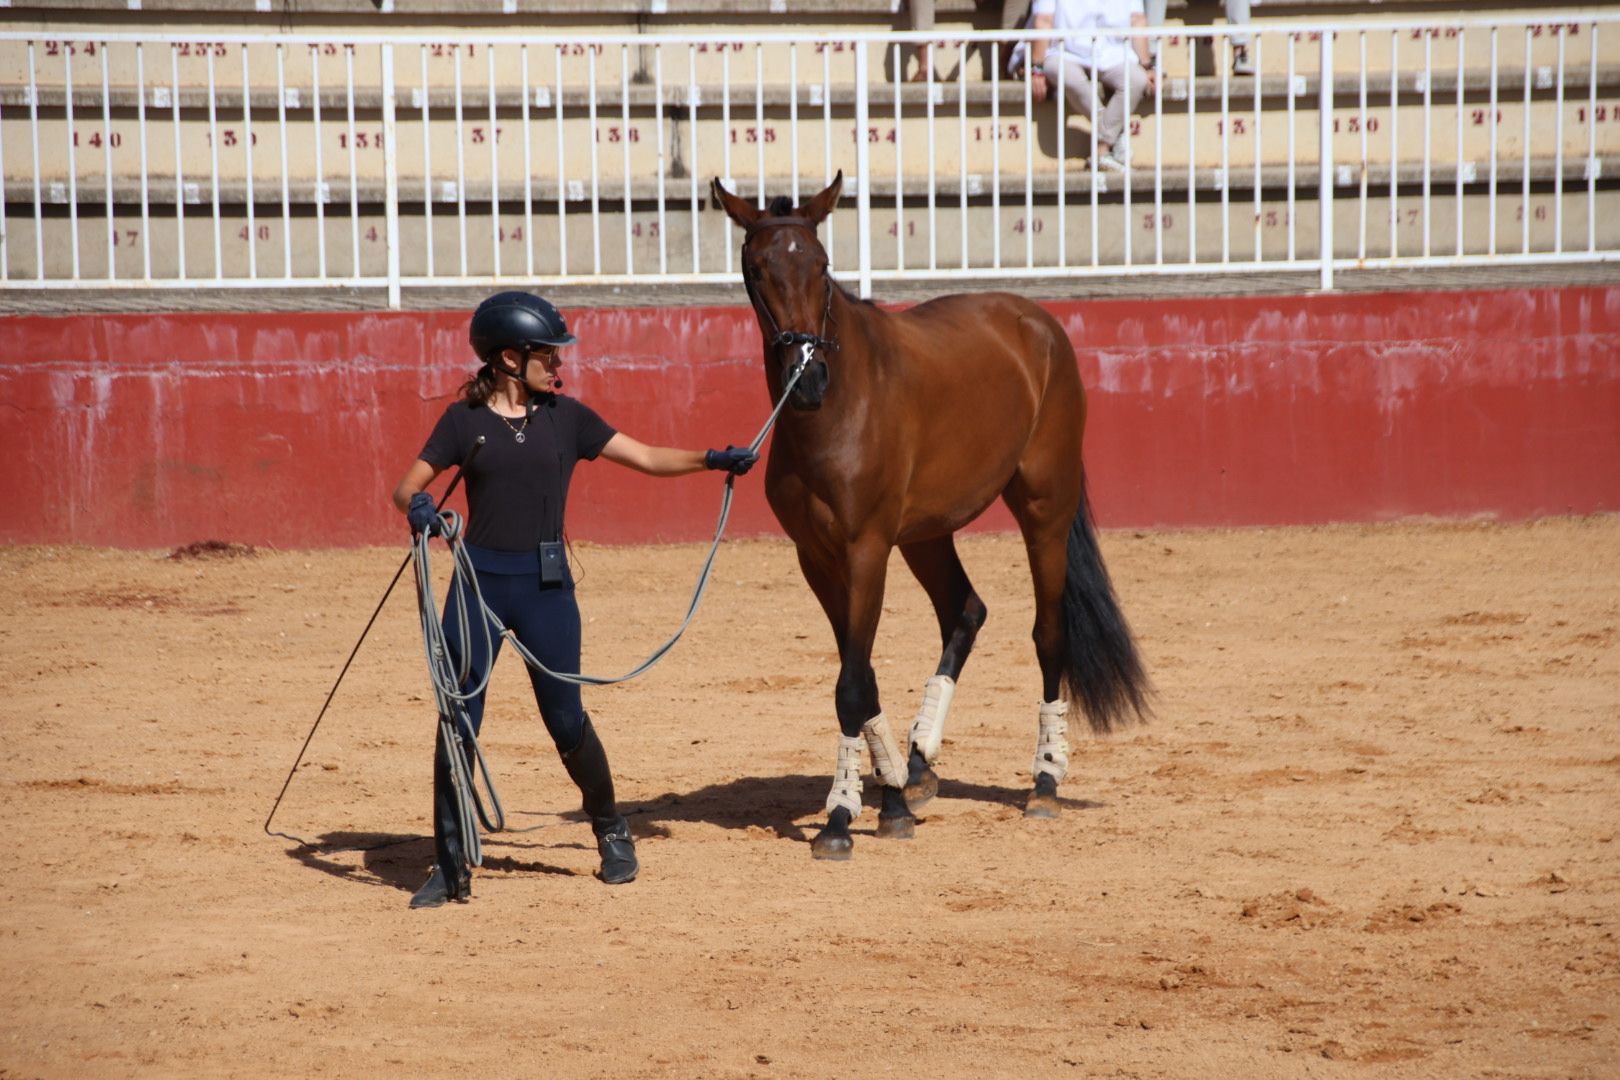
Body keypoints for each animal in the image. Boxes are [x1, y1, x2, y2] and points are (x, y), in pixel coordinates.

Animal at [712, 170, 1153, 861]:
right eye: (757, 269)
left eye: (822, 264)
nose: (808, 378)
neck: (835, 412)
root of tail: (1036, 323)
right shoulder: (818, 559)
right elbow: (860, 677)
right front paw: (890, 795)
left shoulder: (867, 550)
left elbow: (851, 683)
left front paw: (843, 816)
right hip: (926, 535)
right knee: (965, 610)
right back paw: (919, 764)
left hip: (1044, 510)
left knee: (1048, 634)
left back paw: (1045, 780)